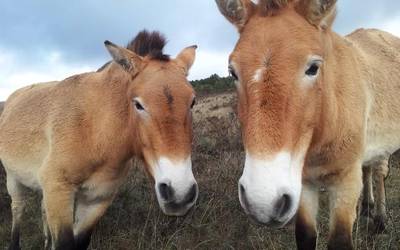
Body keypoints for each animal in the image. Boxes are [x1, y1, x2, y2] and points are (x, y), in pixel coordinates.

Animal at [0, 29, 199, 250]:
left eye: (192, 101)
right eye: (138, 104)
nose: (180, 193)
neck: (95, 132)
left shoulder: (97, 200)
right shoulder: (59, 192)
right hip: (14, 179)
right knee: (18, 209)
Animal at [216, 0, 400, 249]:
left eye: (313, 67)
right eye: (232, 72)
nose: (262, 200)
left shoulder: (345, 182)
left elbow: (340, 240)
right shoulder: (302, 185)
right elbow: (305, 235)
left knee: (379, 172)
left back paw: (380, 219)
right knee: (368, 168)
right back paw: (366, 209)